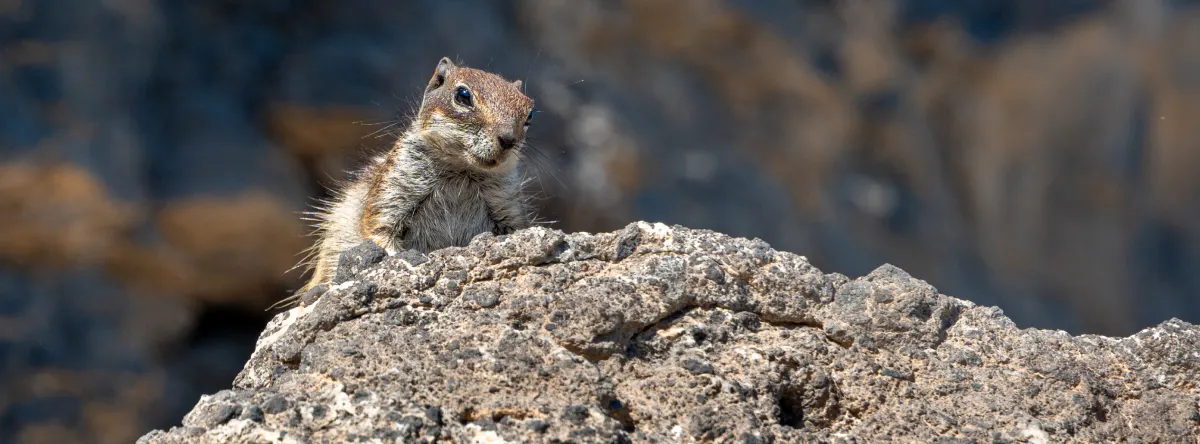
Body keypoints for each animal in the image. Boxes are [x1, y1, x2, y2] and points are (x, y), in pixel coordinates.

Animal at [287, 57, 538, 301]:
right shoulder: (391, 193)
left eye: (530, 114)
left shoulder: (507, 205)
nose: (508, 139)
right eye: (463, 96)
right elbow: (379, 231)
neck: (460, 170)